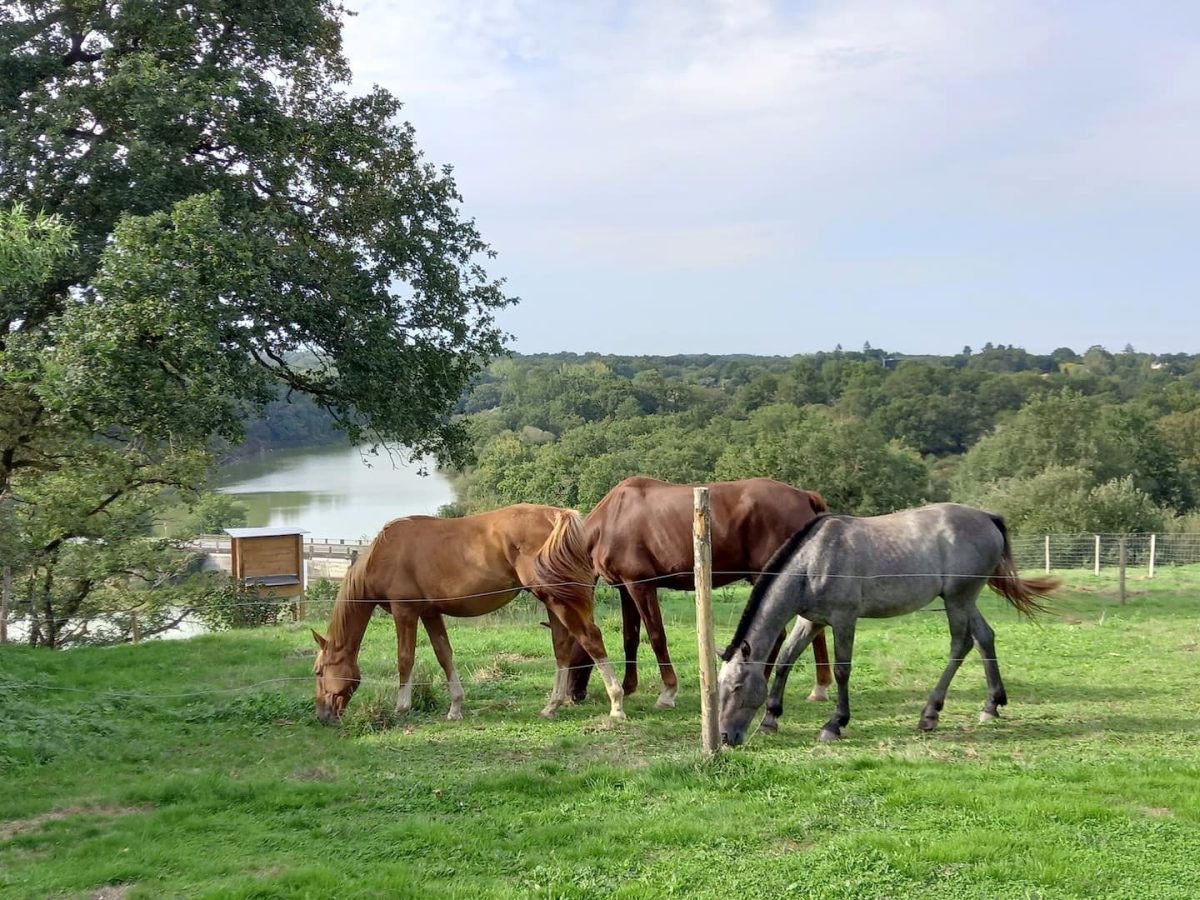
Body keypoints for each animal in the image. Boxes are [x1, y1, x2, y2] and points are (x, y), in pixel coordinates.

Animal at [310, 504, 625, 724]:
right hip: (552, 600)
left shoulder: (405, 612)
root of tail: (557, 516)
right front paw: (456, 707)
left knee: (591, 639)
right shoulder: (430, 613)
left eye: (318, 671)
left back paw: (616, 704)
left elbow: (405, 659)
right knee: (561, 648)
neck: (385, 554)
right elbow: (444, 655)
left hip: (559, 600)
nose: (323, 715)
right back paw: (552, 706)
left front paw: (401, 708)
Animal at [566, 476, 833, 710]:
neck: (613, 518)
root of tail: (804, 496)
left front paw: (668, 692)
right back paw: (816, 687)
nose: (573, 695)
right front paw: (629, 686)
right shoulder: (625, 588)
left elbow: (656, 636)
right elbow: (630, 638)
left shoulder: (641, 585)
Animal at [718, 503, 1060, 745]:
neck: (814, 561)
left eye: (737, 687)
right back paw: (991, 705)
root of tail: (988, 517)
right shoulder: (810, 621)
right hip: (965, 600)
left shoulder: (844, 619)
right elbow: (785, 661)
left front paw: (835, 724)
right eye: (720, 687)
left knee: (961, 644)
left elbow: (842, 670)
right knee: (984, 637)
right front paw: (770, 719)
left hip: (958, 599)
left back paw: (930, 714)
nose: (725, 737)